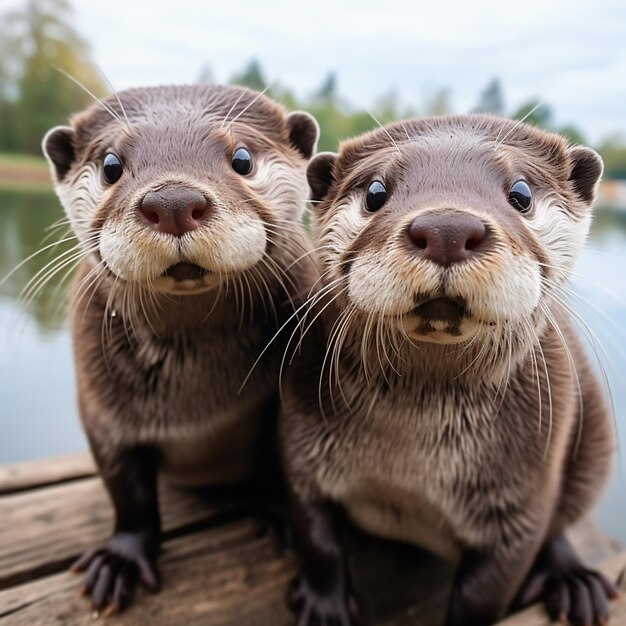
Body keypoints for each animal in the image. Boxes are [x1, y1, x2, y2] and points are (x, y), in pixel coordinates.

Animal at [41, 84, 320, 616]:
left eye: (241, 158)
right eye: (111, 165)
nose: (173, 201)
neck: (199, 406)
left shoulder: (278, 406)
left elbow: (273, 463)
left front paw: (281, 516)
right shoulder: (103, 416)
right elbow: (127, 492)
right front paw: (121, 560)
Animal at [278, 116, 616, 624]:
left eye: (521, 193)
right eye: (375, 191)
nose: (447, 229)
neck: (410, 465)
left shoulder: (521, 505)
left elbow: (487, 591)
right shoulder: (302, 451)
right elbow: (318, 540)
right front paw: (325, 607)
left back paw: (574, 581)